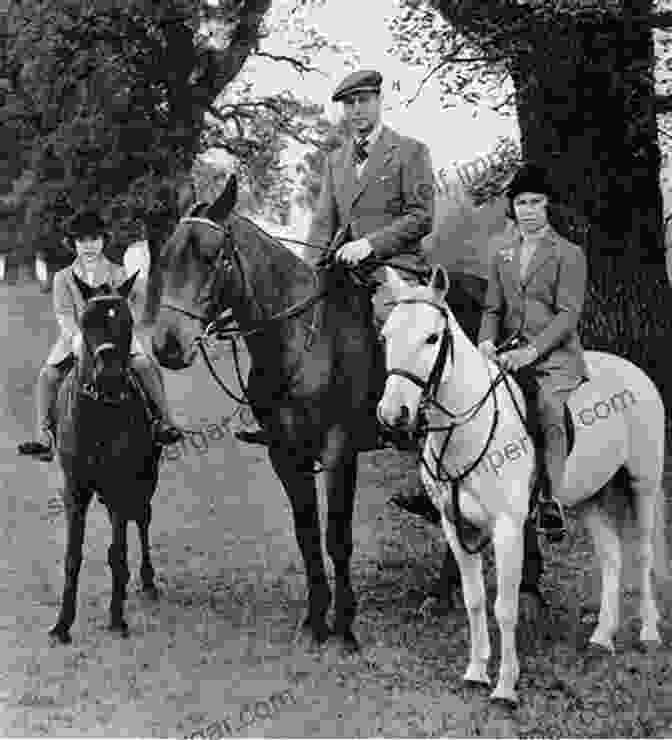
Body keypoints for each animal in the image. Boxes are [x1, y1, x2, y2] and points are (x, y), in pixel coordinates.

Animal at [48, 274, 161, 644]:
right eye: (86, 321)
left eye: (127, 321)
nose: (109, 372)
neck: (100, 414)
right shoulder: (75, 490)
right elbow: (73, 556)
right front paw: (62, 626)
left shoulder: (122, 485)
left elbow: (119, 552)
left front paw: (117, 619)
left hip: (145, 482)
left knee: (142, 519)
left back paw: (148, 583)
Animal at [376, 264, 668, 704]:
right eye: (385, 335)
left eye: (431, 338)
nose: (394, 414)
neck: (468, 426)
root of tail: (634, 371)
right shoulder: (456, 526)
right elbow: (474, 600)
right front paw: (476, 671)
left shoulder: (508, 528)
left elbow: (505, 607)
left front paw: (505, 686)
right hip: (593, 497)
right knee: (612, 557)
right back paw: (602, 637)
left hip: (642, 485)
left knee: (644, 554)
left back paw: (648, 633)